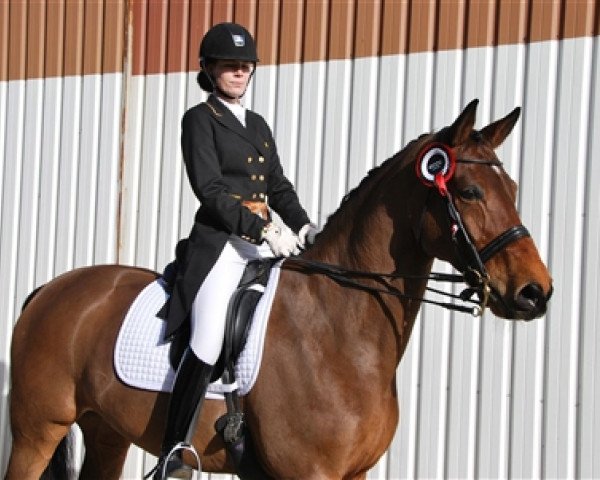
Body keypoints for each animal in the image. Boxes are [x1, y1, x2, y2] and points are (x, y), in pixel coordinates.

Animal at [4, 99, 552, 478]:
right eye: (469, 192)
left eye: (514, 190)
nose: (536, 292)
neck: (340, 328)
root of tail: (50, 289)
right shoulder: (309, 472)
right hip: (37, 431)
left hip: (106, 432)